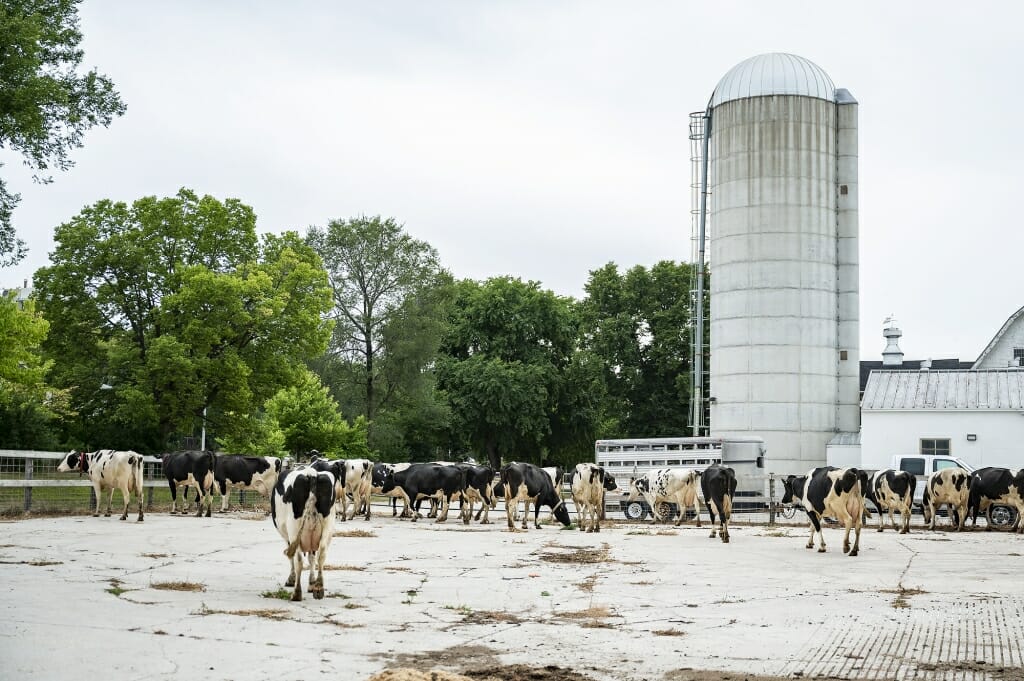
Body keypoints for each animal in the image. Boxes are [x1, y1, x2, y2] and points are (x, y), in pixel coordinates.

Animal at [270, 466, 337, 602]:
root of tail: (312, 474)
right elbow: (312, 557)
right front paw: (312, 584)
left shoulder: (288, 538)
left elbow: (292, 557)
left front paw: (291, 579)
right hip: (328, 525)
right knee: (322, 554)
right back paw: (319, 588)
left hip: (293, 528)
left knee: (299, 559)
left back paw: (296, 594)